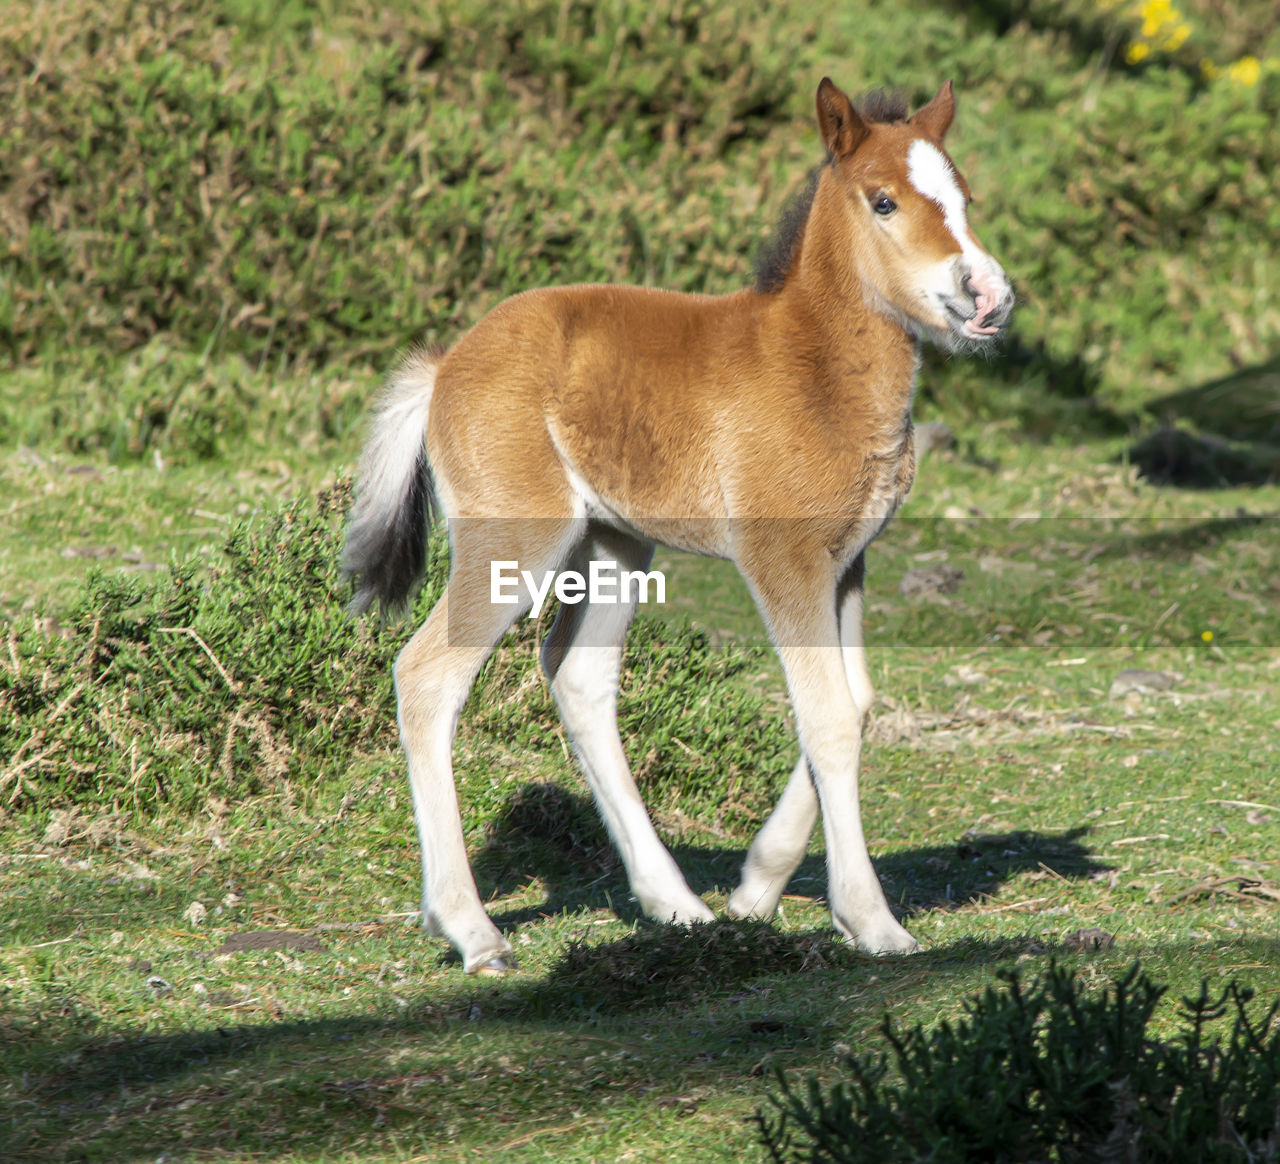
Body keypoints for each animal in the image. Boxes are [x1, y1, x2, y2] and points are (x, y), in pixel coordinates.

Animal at [345, 79, 1013, 973]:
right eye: (884, 201)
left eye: (964, 196)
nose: (988, 296)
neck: (815, 368)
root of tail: (445, 364)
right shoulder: (783, 560)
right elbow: (829, 718)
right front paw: (872, 921)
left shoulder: (848, 561)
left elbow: (858, 703)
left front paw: (754, 891)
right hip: (513, 541)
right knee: (427, 676)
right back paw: (472, 931)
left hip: (616, 543)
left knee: (579, 679)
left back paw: (676, 905)